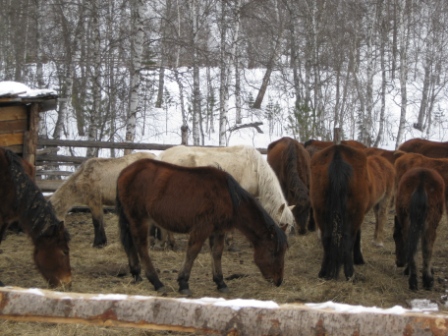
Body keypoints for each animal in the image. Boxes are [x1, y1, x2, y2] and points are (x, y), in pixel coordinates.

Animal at [115, 158, 288, 294]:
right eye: (273, 252)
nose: (278, 281)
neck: (229, 197)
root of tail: (125, 172)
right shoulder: (203, 227)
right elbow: (192, 252)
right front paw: (183, 283)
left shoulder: (218, 230)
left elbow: (217, 253)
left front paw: (220, 282)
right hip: (139, 218)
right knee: (141, 247)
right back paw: (156, 282)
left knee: (130, 244)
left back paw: (136, 274)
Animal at [310, 143, 394, 280]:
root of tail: (338, 153)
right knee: (351, 236)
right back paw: (350, 273)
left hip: (320, 210)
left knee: (326, 238)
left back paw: (323, 272)